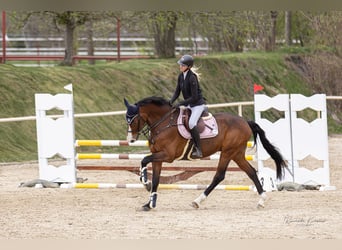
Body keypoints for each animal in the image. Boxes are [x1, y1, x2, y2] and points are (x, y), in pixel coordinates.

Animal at [123, 95, 286, 211]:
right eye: (127, 120)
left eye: (133, 120)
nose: (130, 139)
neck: (163, 123)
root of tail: (245, 122)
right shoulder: (159, 157)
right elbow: (156, 179)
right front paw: (149, 204)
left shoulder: (167, 156)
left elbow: (144, 160)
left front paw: (144, 180)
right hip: (237, 154)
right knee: (251, 172)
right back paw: (262, 200)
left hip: (228, 152)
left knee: (219, 175)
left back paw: (197, 201)